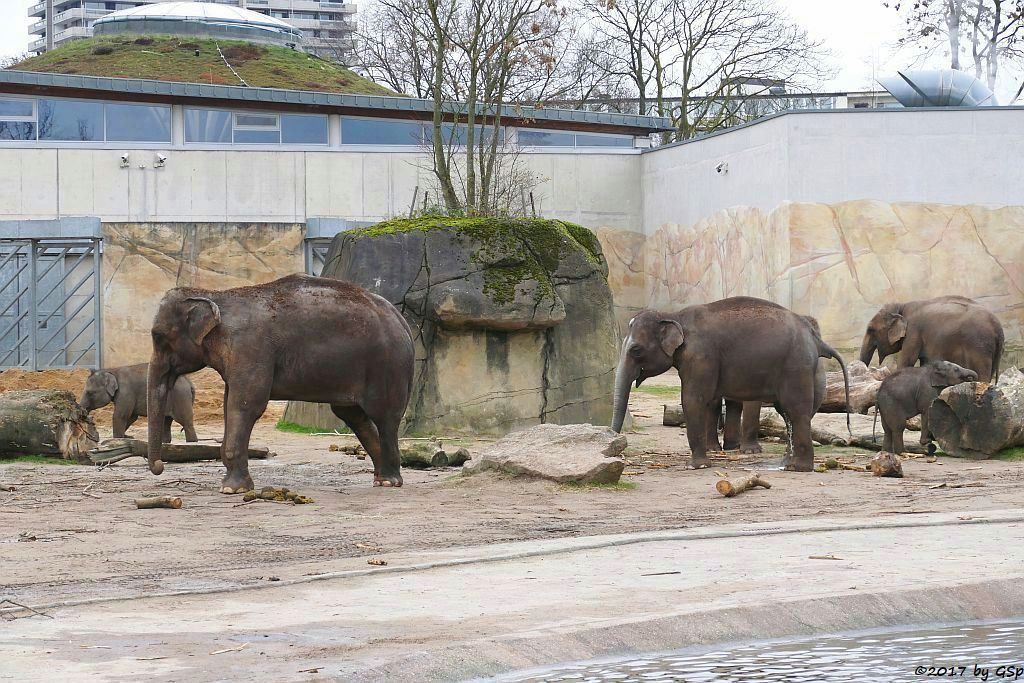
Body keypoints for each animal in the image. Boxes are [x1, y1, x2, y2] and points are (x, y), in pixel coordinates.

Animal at [145, 274, 415, 493]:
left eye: (158, 337)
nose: (159, 466)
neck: (215, 295)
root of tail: (402, 320)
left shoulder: (251, 349)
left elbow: (245, 405)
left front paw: (232, 489)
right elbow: (229, 404)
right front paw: (233, 485)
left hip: (386, 366)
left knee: (384, 416)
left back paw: (389, 481)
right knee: (353, 415)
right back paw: (380, 478)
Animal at [610, 296, 843, 473]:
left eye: (636, 350)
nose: (619, 449)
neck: (673, 316)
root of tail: (814, 337)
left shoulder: (701, 356)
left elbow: (692, 400)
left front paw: (696, 466)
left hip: (795, 365)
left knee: (795, 410)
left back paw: (799, 468)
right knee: (788, 412)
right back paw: (787, 464)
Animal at [860, 294, 1003, 385]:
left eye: (871, 330)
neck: (902, 306)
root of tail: (998, 327)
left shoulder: (913, 332)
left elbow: (906, 361)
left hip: (979, 345)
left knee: (982, 373)